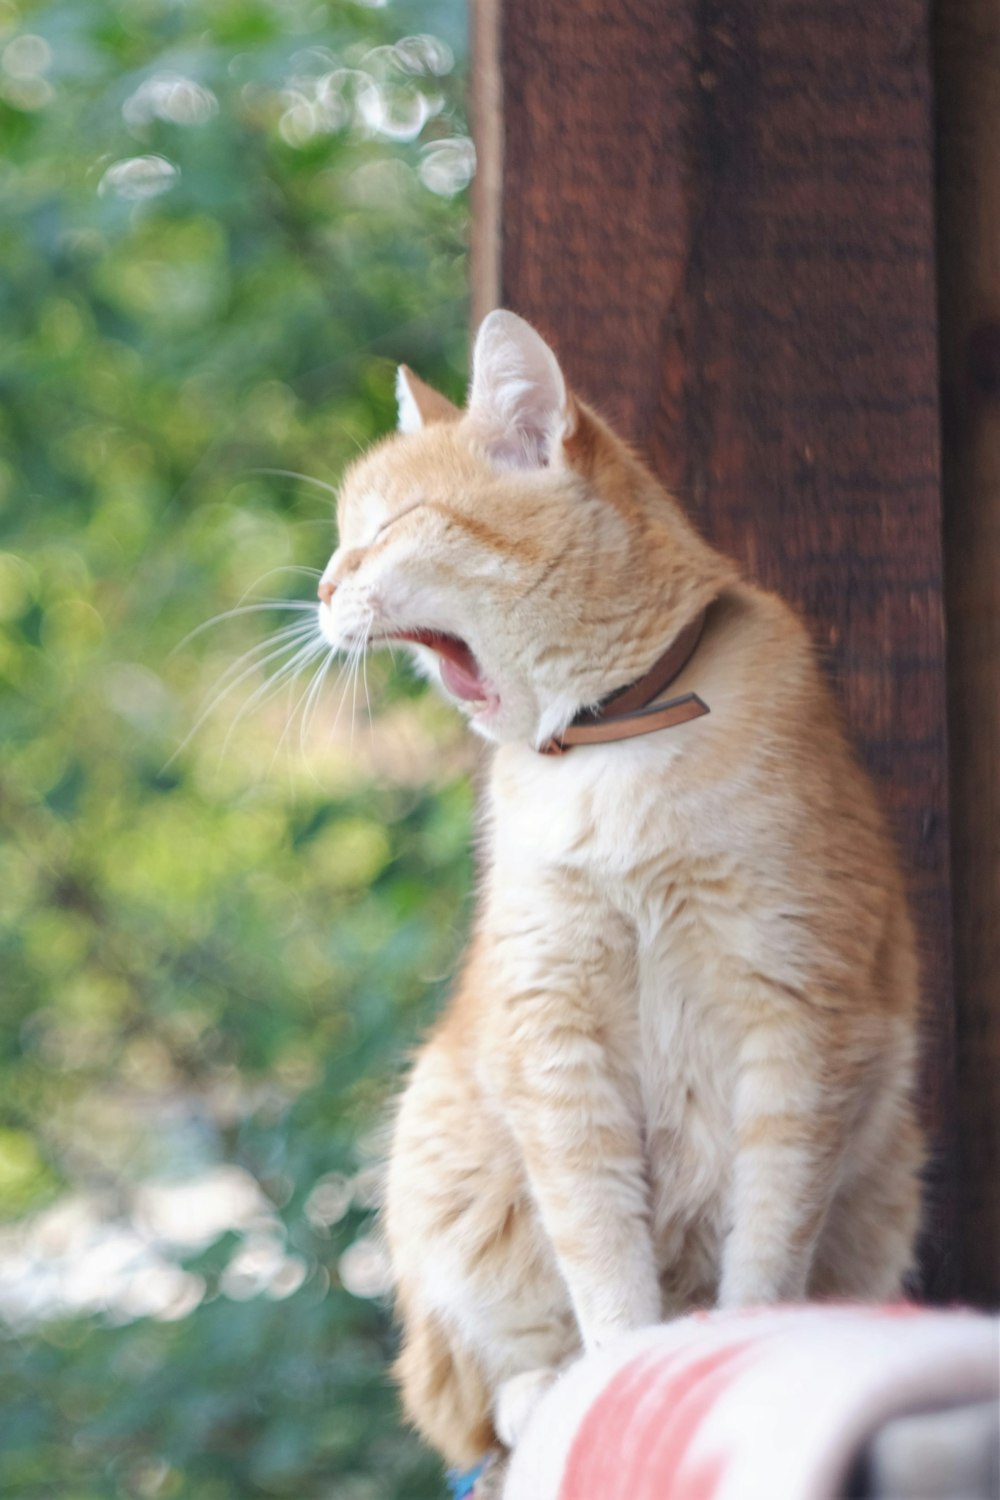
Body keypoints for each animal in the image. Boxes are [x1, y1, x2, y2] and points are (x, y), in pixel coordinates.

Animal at [319, 310, 923, 1470]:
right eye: (339, 540)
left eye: (387, 528)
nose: (322, 591)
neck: (617, 744)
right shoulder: (554, 1035)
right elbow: (598, 1239)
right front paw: (615, 1366)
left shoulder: (798, 1019)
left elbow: (769, 1233)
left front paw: (736, 1343)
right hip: (443, 1142)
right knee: (470, 1405)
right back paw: (538, 1391)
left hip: (885, 1177)